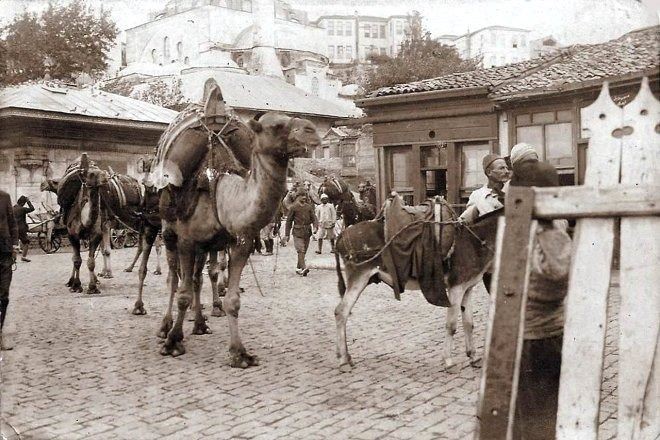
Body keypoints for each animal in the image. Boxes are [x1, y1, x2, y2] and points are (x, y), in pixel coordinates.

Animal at [153, 93, 322, 364]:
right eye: (276, 125)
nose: (312, 131)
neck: (220, 194)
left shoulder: (240, 243)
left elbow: (232, 300)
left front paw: (240, 353)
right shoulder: (187, 241)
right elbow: (182, 294)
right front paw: (173, 342)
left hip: (204, 246)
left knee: (197, 278)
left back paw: (200, 323)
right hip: (170, 231)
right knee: (173, 277)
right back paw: (165, 327)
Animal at [332, 201, 502, 372]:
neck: (475, 242)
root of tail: (341, 235)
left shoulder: (467, 288)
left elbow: (468, 324)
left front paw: (473, 357)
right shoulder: (456, 289)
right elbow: (451, 325)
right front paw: (448, 361)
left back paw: (345, 357)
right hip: (359, 277)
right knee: (341, 312)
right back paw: (343, 360)